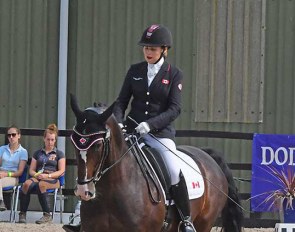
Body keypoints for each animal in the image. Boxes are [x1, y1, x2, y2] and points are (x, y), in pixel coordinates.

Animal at [68, 94, 244, 232]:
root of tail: (207, 155)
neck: (113, 189)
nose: (84, 191)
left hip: (204, 223)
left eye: (97, 145)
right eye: (74, 141)